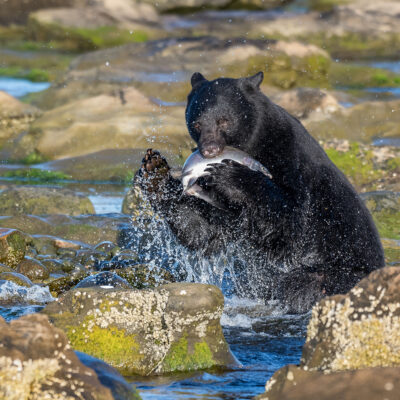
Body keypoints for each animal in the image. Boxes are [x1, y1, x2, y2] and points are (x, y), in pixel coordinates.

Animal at [137, 73, 384, 314]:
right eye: (197, 123)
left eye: (223, 120)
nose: (209, 150)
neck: (256, 144)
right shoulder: (229, 210)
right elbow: (206, 234)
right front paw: (154, 171)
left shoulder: (293, 161)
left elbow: (291, 222)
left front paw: (230, 174)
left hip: (339, 272)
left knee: (301, 284)